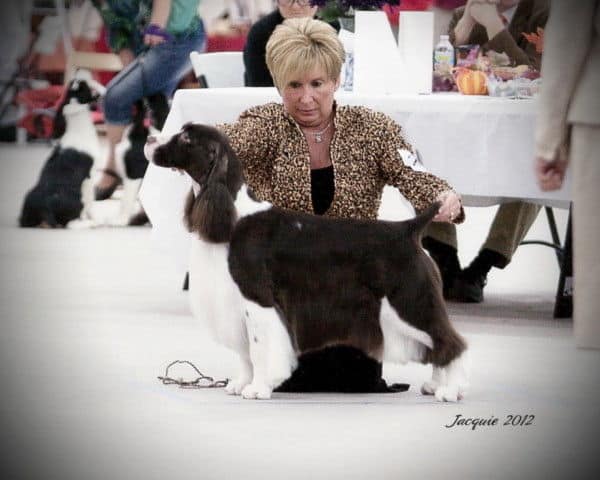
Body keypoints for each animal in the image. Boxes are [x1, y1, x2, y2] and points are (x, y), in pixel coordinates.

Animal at [144, 123, 468, 402]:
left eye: (187, 138)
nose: (148, 139)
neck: (233, 217)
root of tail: (409, 228)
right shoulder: (235, 302)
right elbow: (245, 351)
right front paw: (241, 383)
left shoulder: (258, 297)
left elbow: (259, 348)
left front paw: (258, 388)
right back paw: (434, 385)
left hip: (409, 299)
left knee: (448, 340)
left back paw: (449, 391)